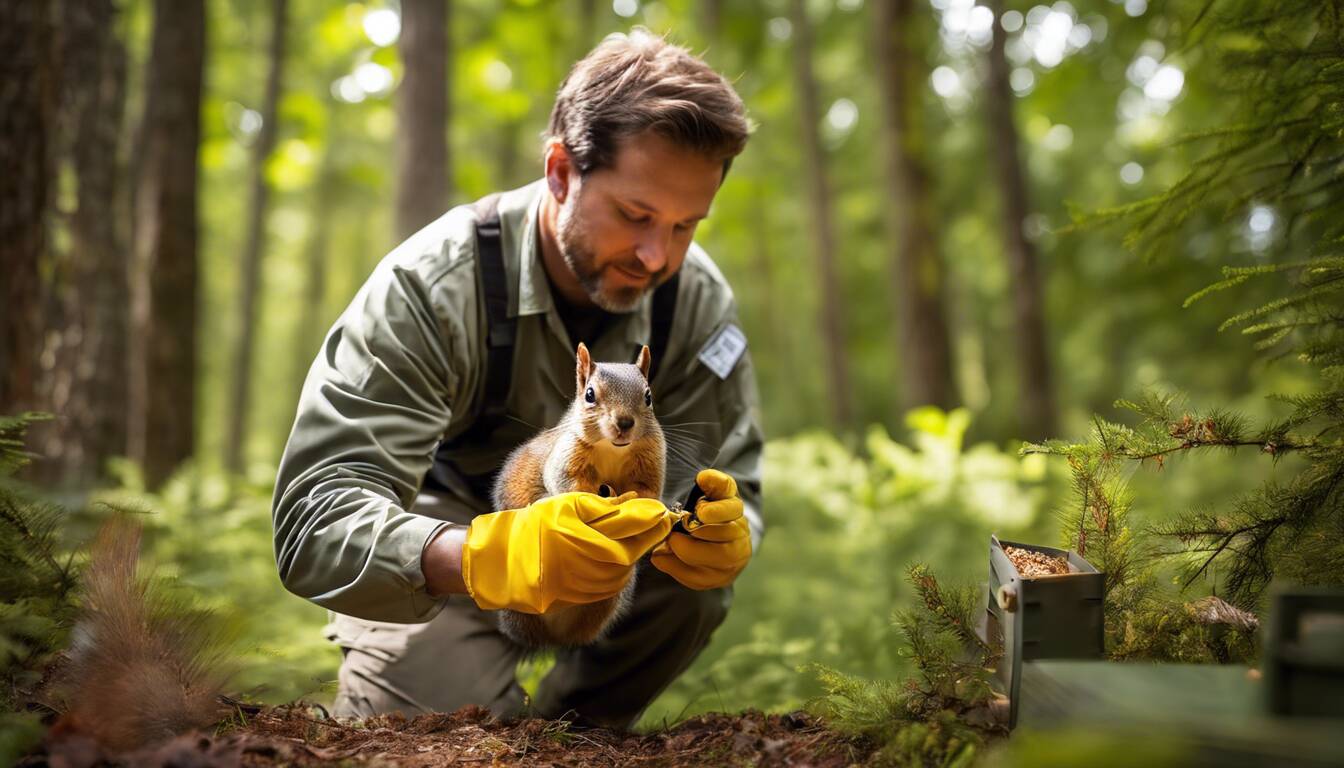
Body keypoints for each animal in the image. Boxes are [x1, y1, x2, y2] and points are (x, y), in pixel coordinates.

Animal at [490, 341, 666, 648]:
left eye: (648, 396)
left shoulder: (651, 459)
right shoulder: (567, 455)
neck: (612, 448)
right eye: (590, 395)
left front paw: (634, 502)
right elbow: (567, 483)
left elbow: (649, 491)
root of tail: (553, 636)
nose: (624, 423)